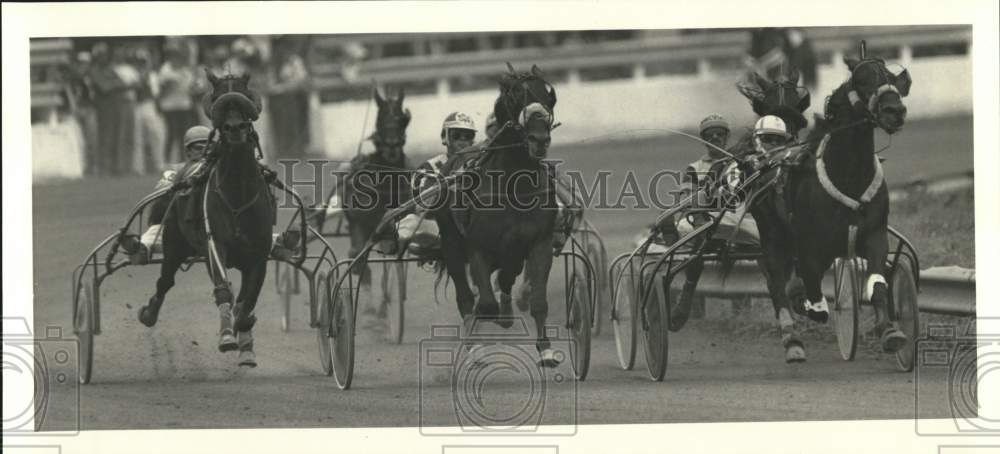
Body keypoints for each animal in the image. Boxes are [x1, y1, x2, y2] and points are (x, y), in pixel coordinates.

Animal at [135, 72, 274, 368]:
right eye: (218, 97)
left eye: (245, 95)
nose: (234, 128)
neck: (237, 192)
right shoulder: (215, 245)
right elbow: (223, 289)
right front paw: (228, 336)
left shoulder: (259, 255)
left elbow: (248, 300)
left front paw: (245, 337)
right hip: (174, 245)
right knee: (165, 281)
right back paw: (149, 313)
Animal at [436, 63, 564, 368]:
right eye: (515, 96)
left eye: (549, 96)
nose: (539, 139)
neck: (513, 183)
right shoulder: (477, 247)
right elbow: (484, 304)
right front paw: (476, 344)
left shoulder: (539, 243)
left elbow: (538, 300)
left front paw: (546, 350)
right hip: (451, 244)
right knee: (465, 296)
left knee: (506, 277)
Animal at [752, 42, 912, 362]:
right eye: (861, 80)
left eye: (891, 77)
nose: (894, 110)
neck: (848, 175)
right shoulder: (811, 245)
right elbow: (811, 293)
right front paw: (811, 307)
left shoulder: (874, 234)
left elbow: (877, 284)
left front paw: (890, 331)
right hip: (772, 233)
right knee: (776, 284)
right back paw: (792, 339)